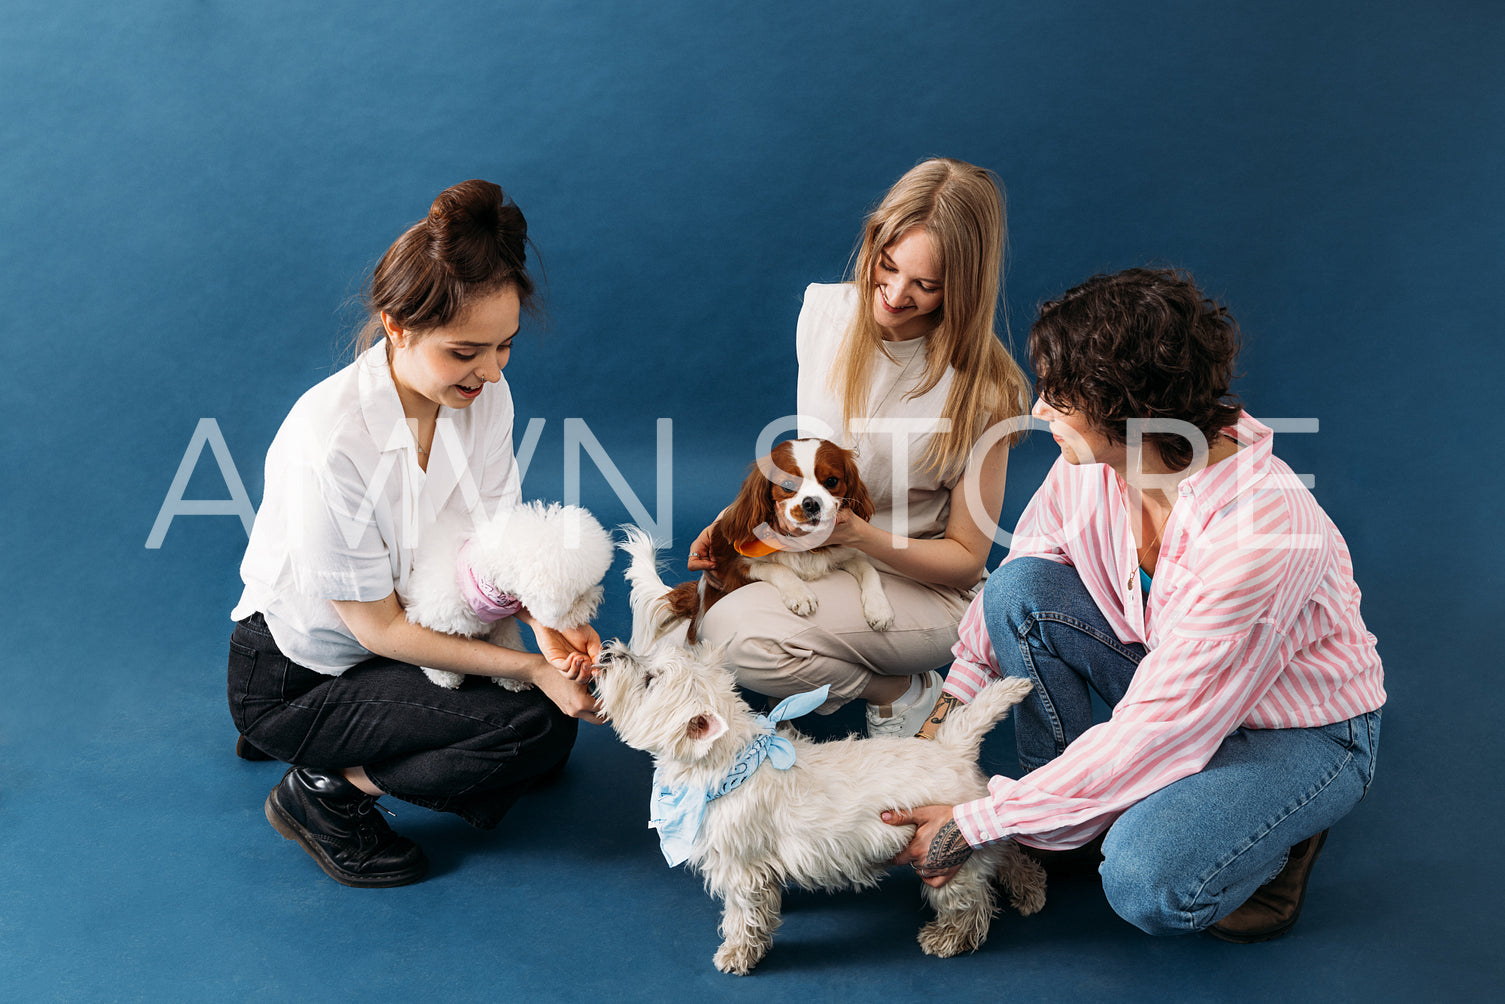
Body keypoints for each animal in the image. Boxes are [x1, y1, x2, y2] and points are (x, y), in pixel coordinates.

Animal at [400, 502, 617, 692]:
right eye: (578, 597)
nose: (594, 606)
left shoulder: (503, 624)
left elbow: (508, 643)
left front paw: (513, 680)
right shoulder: (432, 619)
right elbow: (433, 652)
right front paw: (445, 676)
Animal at [592, 529, 1041, 975]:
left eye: (650, 679)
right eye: (650, 661)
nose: (606, 653)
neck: (731, 767)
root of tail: (954, 749)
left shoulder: (740, 869)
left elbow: (743, 915)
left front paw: (737, 954)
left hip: (943, 855)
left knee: (972, 902)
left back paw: (948, 938)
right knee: (1005, 849)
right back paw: (1030, 891)